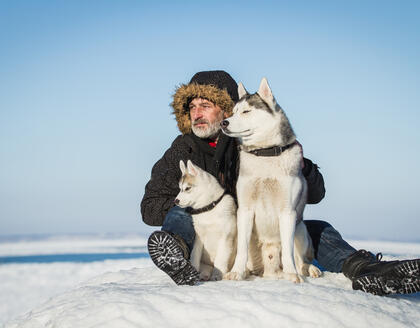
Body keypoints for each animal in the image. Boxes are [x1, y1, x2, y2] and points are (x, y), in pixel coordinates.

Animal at [221, 78, 320, 284]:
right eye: (233, 111)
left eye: (246, 111)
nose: (223, 123)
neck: (265, 154)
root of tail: (270, 271)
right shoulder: (245, 210)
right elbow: (241, 249)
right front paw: (236, 272)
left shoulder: (287, 212)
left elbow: (289, 252)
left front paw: (292, 274)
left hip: (300, 228)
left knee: (301, 259)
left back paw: (308, 269)